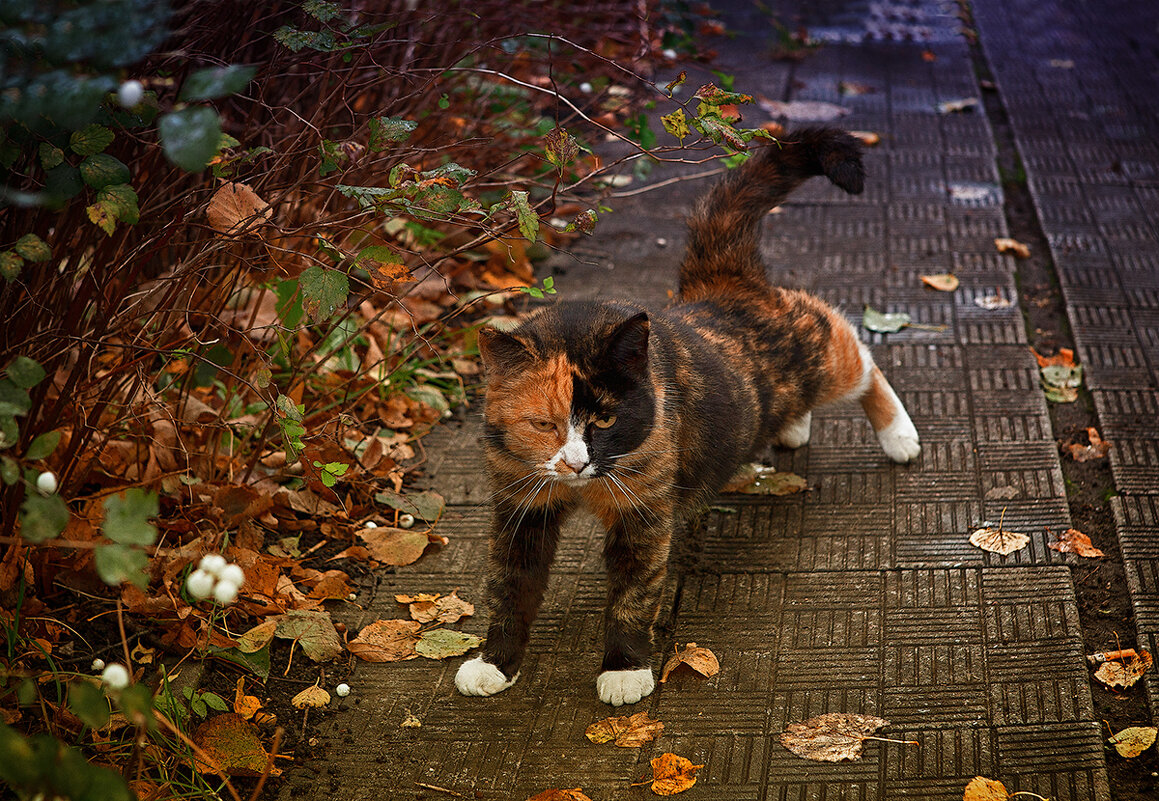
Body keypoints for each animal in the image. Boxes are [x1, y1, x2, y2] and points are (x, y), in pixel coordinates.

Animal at [456, 126, 917, 709]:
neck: (585, 488)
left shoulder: (643, 518)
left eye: (605, 421)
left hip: (817, 355)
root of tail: (721, 282)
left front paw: (625, 669)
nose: (575, 464)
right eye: (543, 425)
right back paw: (793, 426)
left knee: (857, 349)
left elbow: (633, 596)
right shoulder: (521, 510)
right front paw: (495, 662)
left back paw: (899, 433)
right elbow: (510, 587)